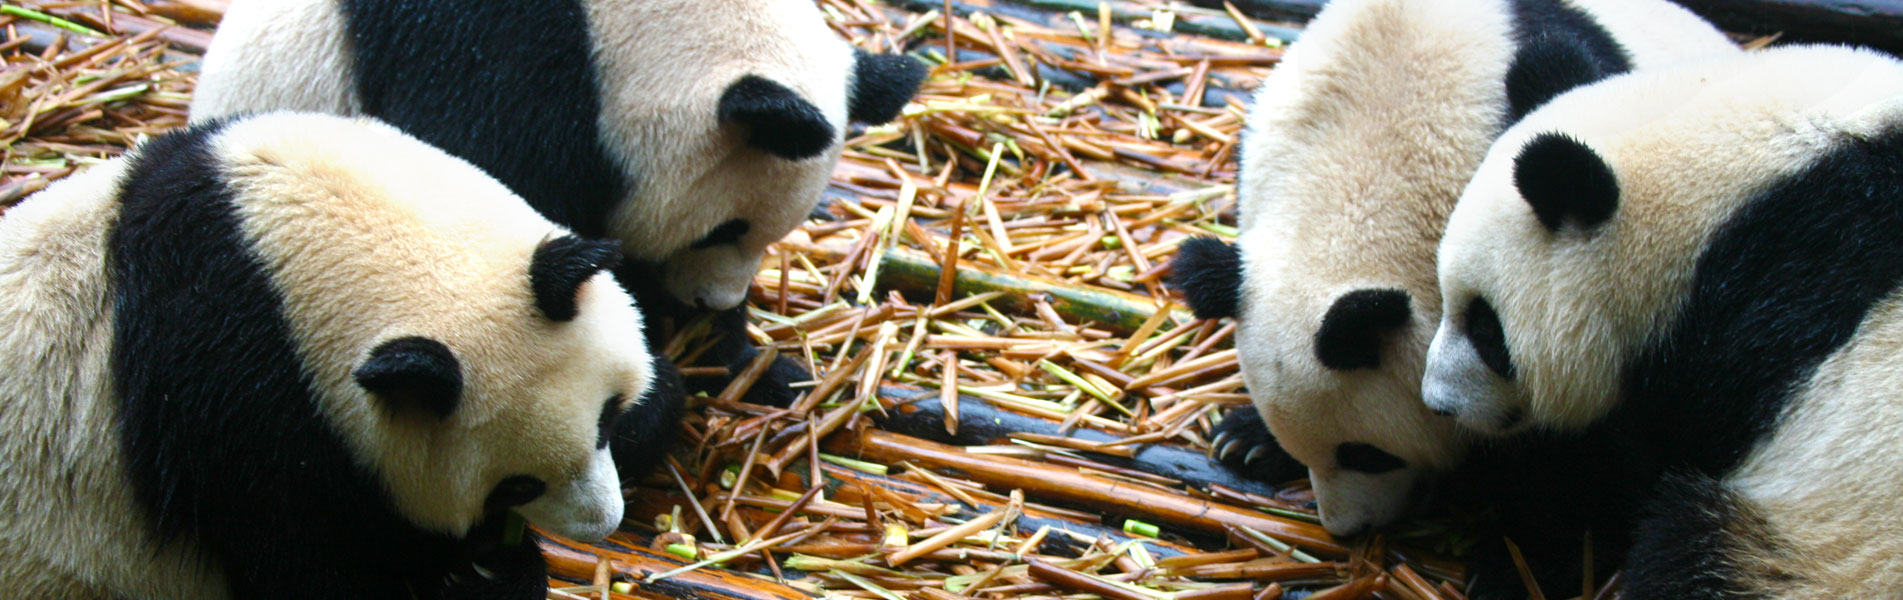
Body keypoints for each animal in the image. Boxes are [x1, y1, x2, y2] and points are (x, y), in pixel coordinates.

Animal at [0, 111, 669, 598]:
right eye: (517, 486)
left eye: (606, 419)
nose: (603, 523)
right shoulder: (233, 414)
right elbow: (307, 564)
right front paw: (484, 573)